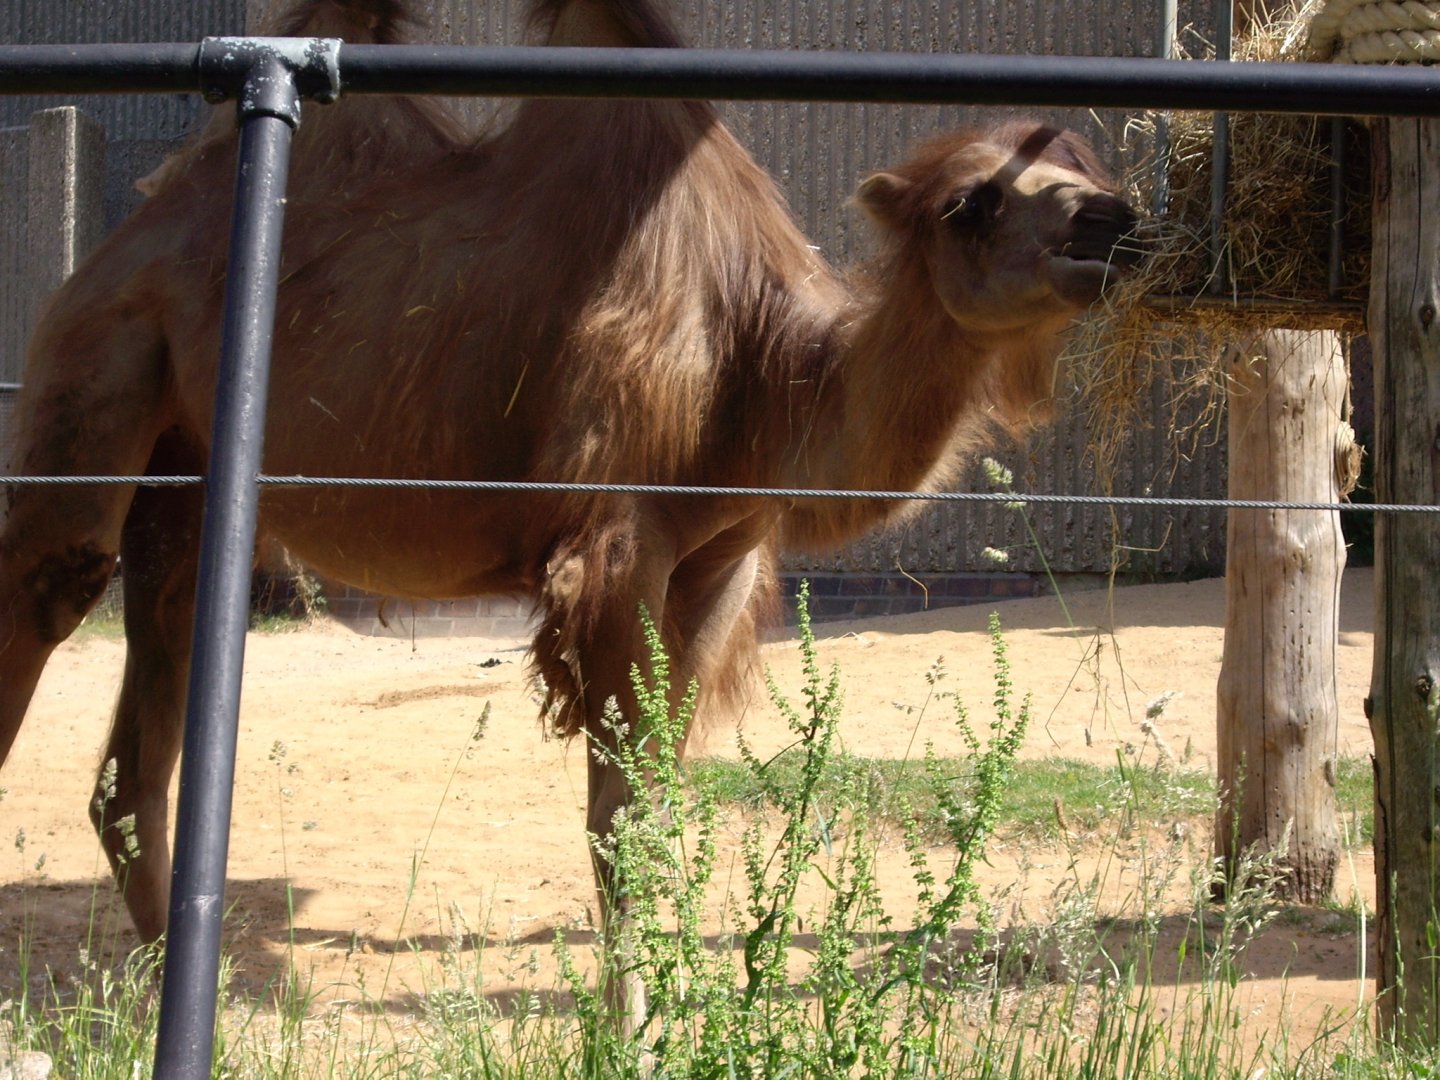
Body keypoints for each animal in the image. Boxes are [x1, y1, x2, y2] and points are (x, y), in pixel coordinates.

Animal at [0, 0, 1139, 987]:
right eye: (972, 203)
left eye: (1087, 164)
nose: (1111, 224)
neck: (758, 370)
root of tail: (124, 240)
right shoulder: (614, 544)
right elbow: (617, 821)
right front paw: (625, 1028)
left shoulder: (721, 560)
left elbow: (666, 796)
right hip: (98, 362)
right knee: (52, 582)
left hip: (186, 465)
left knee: (144, 712)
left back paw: (174, 984)